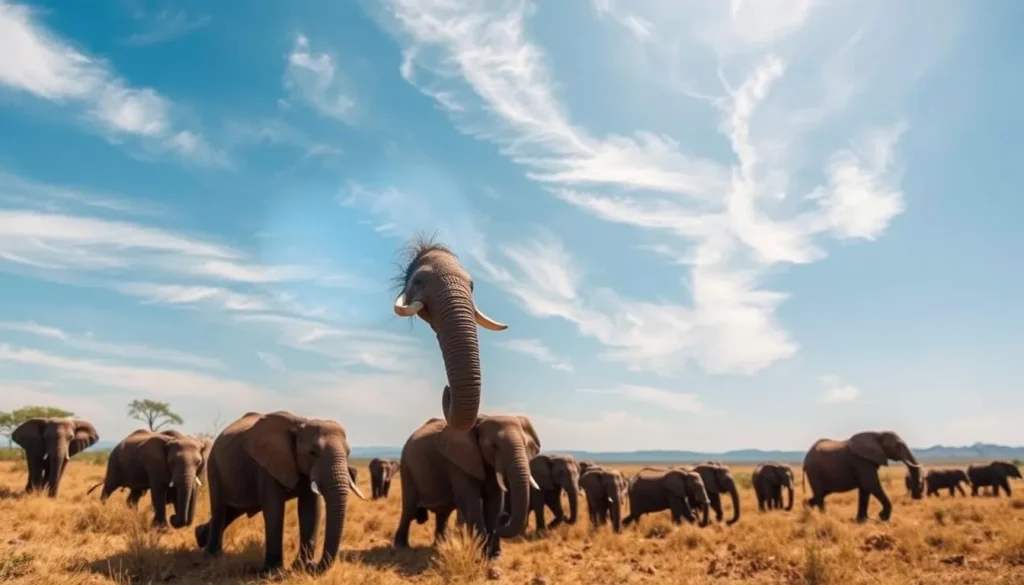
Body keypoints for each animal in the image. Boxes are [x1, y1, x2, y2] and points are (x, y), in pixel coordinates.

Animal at [193, 411, 365, 575]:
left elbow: (311, 509)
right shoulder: (266, 465)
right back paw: (212, 555)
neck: (301, 423)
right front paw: (273, 572)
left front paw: (299, 568)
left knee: (233, 510)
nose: (313, 565)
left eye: (348, 454)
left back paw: (200, 536)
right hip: (214, 466)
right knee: (220, 508)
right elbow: (274, 508)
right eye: (312, 453)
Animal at [393, 414, 541, 560]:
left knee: (443, 513)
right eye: (493, 446)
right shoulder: (458, 462)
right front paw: (481, 557)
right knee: (409, 509)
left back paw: (441, 545)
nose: (504, 517)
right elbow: (469, 499)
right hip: (406, 467)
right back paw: (401, 547)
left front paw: (495, 556)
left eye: (526, 445)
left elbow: (495, 501)